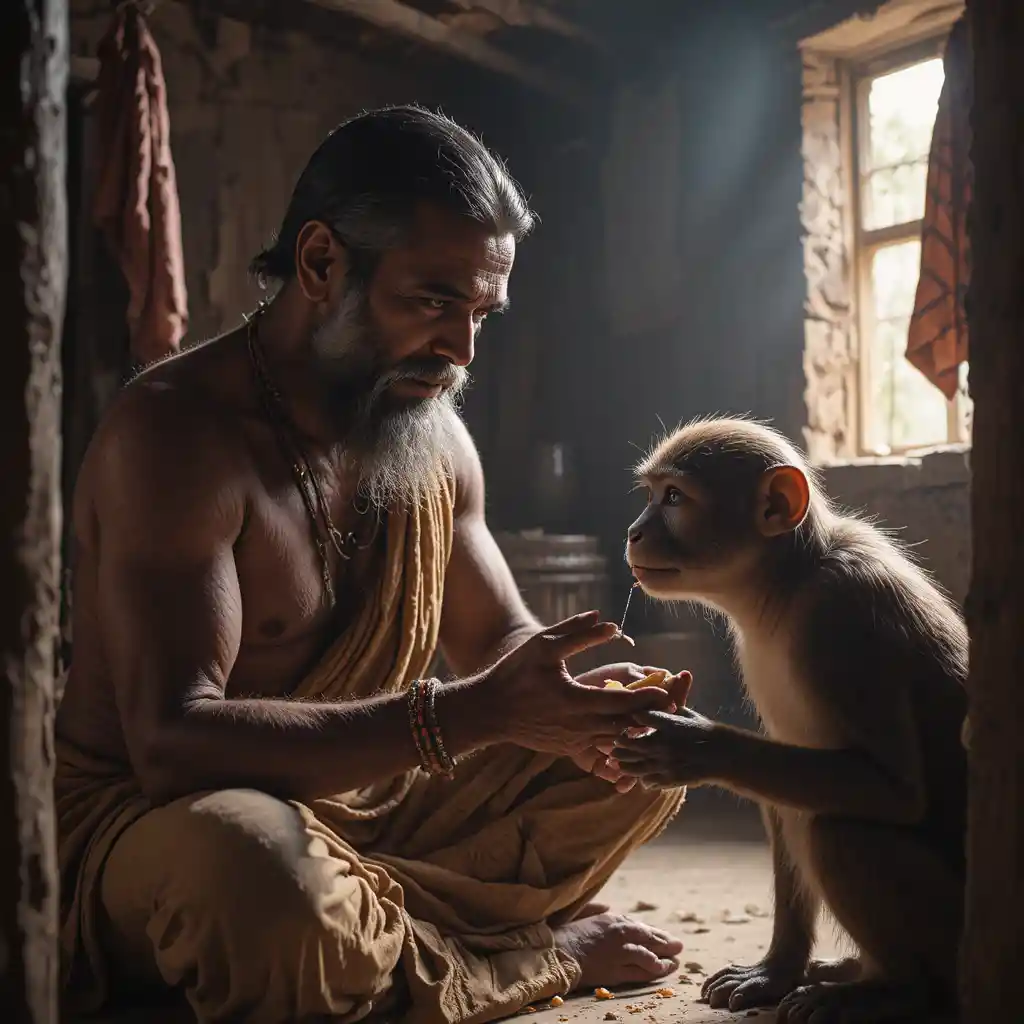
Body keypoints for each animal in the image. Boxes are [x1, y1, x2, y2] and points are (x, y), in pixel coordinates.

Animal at [610, 418, 968, 1024]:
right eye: (650, 495)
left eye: (674, 498)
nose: (633, 531)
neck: (787, 584)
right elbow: (781, 805)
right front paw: (776, 970)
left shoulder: (844, 614)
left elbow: (896, 790)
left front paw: (697, 747)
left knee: (837, 829)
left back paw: (894, 989)